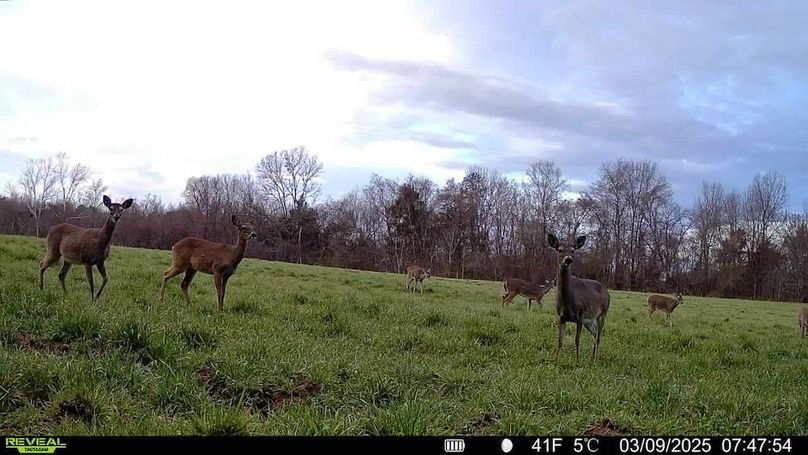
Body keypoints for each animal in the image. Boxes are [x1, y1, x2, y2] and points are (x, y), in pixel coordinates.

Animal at [547, 233, 610, 364]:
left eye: (573, 250)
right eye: (559, 250)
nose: (568, 259)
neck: (567, 299)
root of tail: (607, 291)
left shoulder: (580, 315)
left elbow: (577, 341)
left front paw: (577, 361)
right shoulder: (561, 316)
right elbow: (560, 341)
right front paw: (555, 361)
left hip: (602, 313)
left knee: (598, 337)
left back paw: (595, 360)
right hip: (589, 321)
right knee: (594, 334)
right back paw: (591, 358)